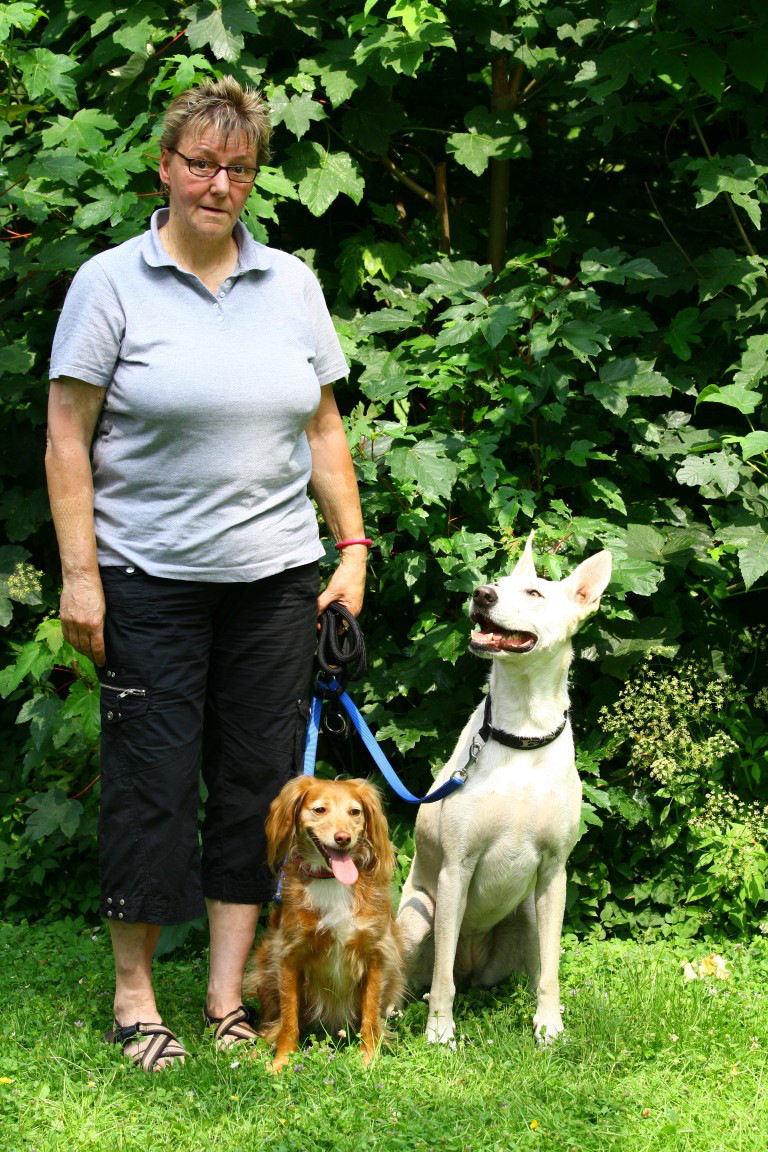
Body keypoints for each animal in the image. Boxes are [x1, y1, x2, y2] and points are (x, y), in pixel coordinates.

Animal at [246, 774, 405, 1069]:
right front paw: (282, 1062)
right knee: (271, 1022)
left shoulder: (376, 955)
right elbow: (288, 1020)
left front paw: (369, 1059)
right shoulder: (288, 956)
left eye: (355, 812)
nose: (343, 838)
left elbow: (370, 1016)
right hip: (265, 964)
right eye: (320, 810)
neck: (331, 880)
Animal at [396, 532, 612, 1046]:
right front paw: (440, 1032)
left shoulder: (554, 873)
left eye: (534, 592)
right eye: (494, 582)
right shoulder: (455, 868)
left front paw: (549, 1027)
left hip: (527, 916)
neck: (523, 733)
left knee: (531, 968)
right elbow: (441, 979)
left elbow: (551, 971)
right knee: (418, 975)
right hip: (418, 914)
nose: (481, 594)